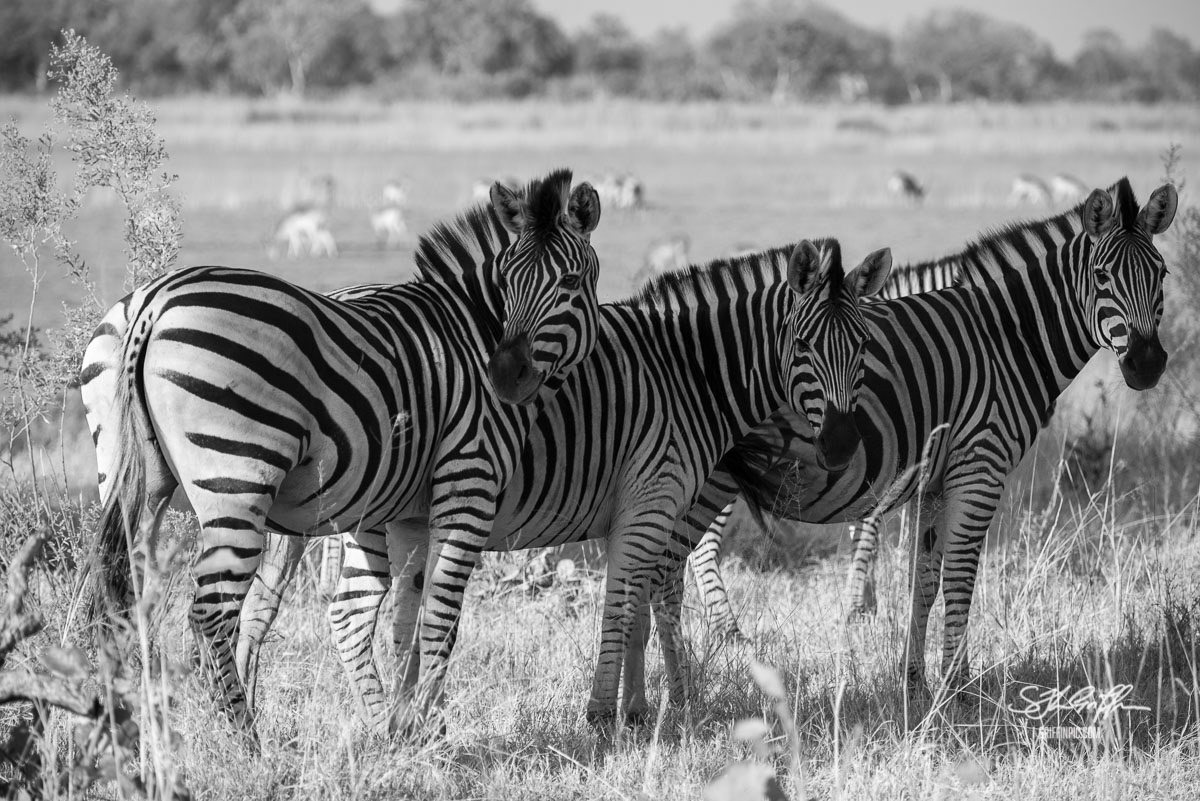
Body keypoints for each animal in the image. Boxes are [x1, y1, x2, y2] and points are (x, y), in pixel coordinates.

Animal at [80, 169, 604, 736]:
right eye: (507, 283)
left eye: (571, 283)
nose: (504, 377)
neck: (473, 332)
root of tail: (153, 303)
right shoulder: (468, 479)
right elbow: (440, 612)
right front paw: (429, 727)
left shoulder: (411, 505)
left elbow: (407, 612)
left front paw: (408, 727)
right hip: (237, 481)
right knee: (209, 613)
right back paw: (244, 739)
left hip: (134, 477)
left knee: (121, 594)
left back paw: (132, 725)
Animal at [239, 238, 892, 730]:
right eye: (802, 345)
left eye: (864, 345)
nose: (842, 446)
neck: (685, 372)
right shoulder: (651, 502)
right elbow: (623, 605)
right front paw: (607, 713)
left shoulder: (644, 510)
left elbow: (639, 608)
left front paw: (640, 710)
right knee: (340, 608)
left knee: (281, 604)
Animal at [660, 178, 1178, 700]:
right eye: (1101, 276)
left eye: (1162, 274)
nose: (1147, 364)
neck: (1004, 340)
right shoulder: (979, 465)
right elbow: (958, 576)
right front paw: (958, 688)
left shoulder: (934, 477)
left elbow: (925, 579)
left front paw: (915, 681)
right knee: (676, 560)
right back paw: (695, 674)